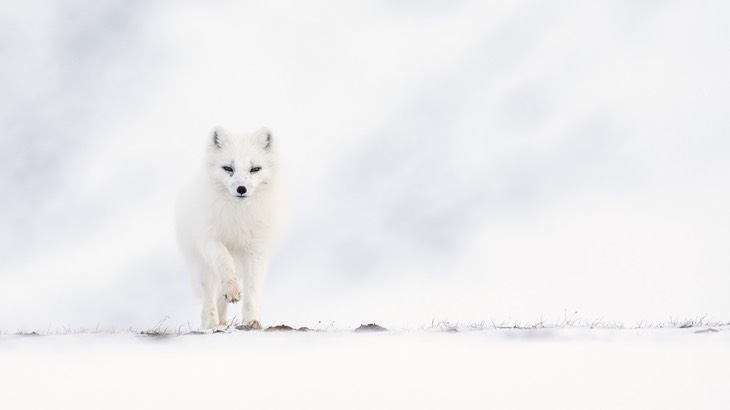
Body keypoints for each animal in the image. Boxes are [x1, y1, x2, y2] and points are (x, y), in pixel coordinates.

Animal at [176, 128, 288, 330]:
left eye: (255, 169)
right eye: (228, 168)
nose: (241, 189)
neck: (238, 216)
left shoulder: (255, 249)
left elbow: (252, 289)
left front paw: (252, 320)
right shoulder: (209, 240)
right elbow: (224, 260)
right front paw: (233, 289)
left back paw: (221, 321)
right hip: (202, 266)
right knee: (209, 296)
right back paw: (211, 323)